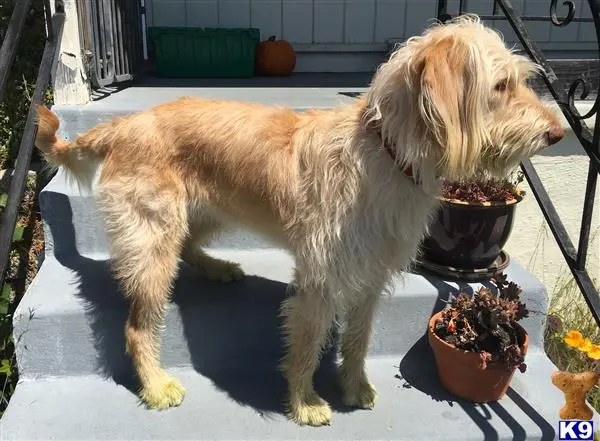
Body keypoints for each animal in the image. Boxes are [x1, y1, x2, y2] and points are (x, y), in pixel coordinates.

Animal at [36, 15, 564, 424]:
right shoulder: (320, 279)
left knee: (189, 245)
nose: (558, 133)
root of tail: (122, 124)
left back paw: (218, 267)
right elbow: (308, 342)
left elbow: (359, 338)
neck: (385, 152)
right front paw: (305, 401)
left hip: (208, 210)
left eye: (518, 81)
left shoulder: (372, 275)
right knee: (136, 325)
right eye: (501, 86)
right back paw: (154, 384)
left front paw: (355, 386)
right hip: (154, 239)